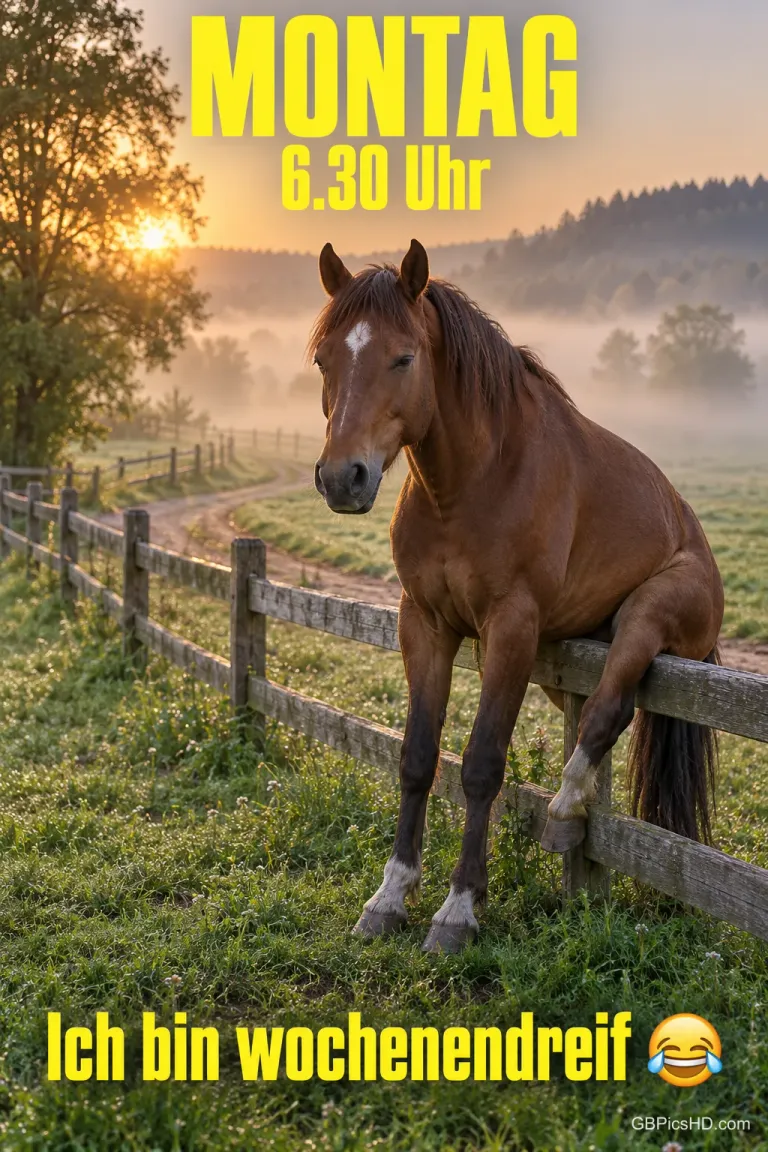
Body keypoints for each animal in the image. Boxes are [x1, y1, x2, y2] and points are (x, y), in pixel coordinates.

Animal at [310, 239, 724, 954]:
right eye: (323, 359)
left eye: (403, 358)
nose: (343, 478)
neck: (474, 480)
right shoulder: (424, 623)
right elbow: (418, 757)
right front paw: (391, 896)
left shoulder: (510, 628)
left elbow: (481, 764)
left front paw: (457, 910)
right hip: (558, 665)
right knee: (597, 714)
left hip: (646, 613)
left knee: (607, 709)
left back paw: (563, 811)